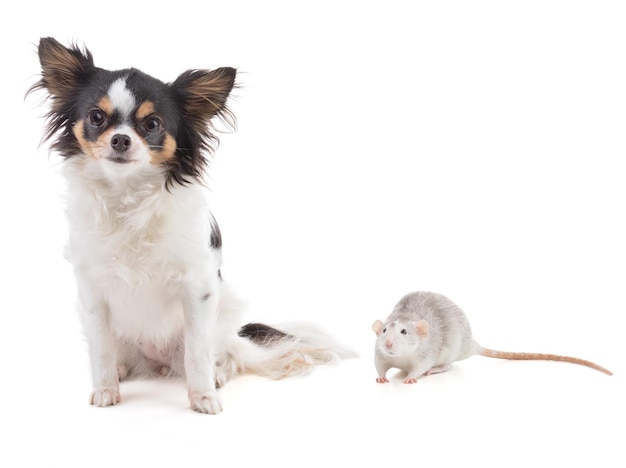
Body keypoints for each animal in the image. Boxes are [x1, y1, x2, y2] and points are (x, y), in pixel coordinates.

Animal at [28, 38, 352, 414]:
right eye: (96, 118)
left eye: (152, 124)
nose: (120, 139)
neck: (128, 195)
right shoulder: (93, 291)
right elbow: (100, 348)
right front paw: (105, 388)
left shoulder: (197, 289)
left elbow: (197, 352)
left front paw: (203, 396)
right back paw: (123, 369)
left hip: (224, 313)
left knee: (223, 355)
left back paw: (218, 373)